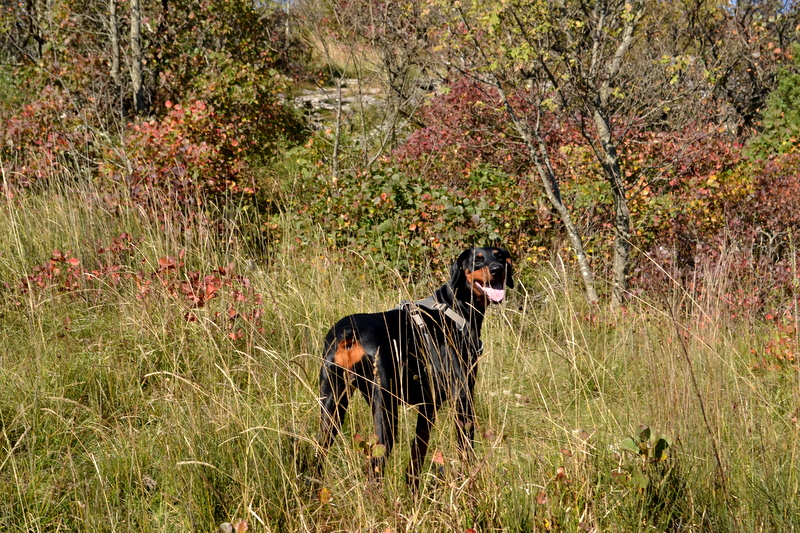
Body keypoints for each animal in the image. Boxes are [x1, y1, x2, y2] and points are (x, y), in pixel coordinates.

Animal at [317, 247, 513, 488]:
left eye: (500, 256)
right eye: (478, 259)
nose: (498, 269)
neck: (454, 310)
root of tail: (350, 333)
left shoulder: (428, 406)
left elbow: (416, 457)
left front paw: (413, 491)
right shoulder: (462, 397)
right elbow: (466, 452)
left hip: (332, 404)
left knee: (316, 454)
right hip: (385, 408)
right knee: (375, 467)